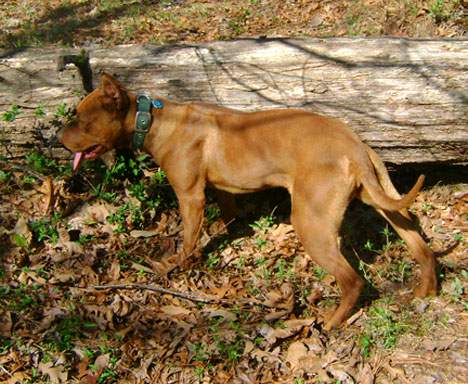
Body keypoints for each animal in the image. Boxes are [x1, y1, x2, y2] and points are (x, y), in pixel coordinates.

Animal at [59, 73, 438, 330]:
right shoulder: (222, 190)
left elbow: (188, 238)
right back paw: (427, 291)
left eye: (80, 119)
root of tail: (354, 145)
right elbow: (227, 217)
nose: (57, 136)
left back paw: (332, 321)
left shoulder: (190, 196)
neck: (152, 120)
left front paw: (174, 265)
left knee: (353, 280)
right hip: (383, 201)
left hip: (312, 222)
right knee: (420, 244)